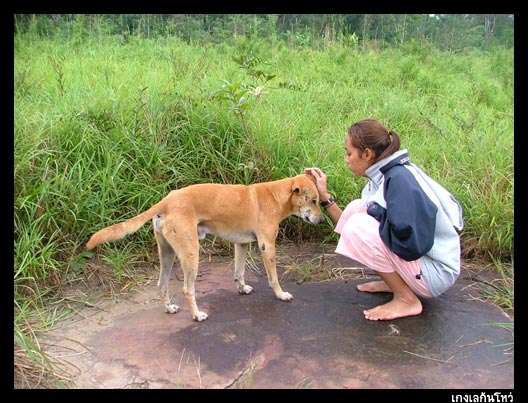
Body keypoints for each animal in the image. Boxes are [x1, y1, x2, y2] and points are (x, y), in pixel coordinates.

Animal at [86, 174, 324, 322]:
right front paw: (281, 295)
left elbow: (239, 272)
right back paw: (197, 314)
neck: (276, 196)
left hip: (167, 254)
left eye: (319, 200)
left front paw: (242, 288)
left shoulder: (241, 244)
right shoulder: (267, 245)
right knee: (187, 289)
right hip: (191, 254)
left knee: (162, 284)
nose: (322, 221)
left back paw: (169, 308)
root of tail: (166, 200)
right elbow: (273, 278)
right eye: (313, 200)